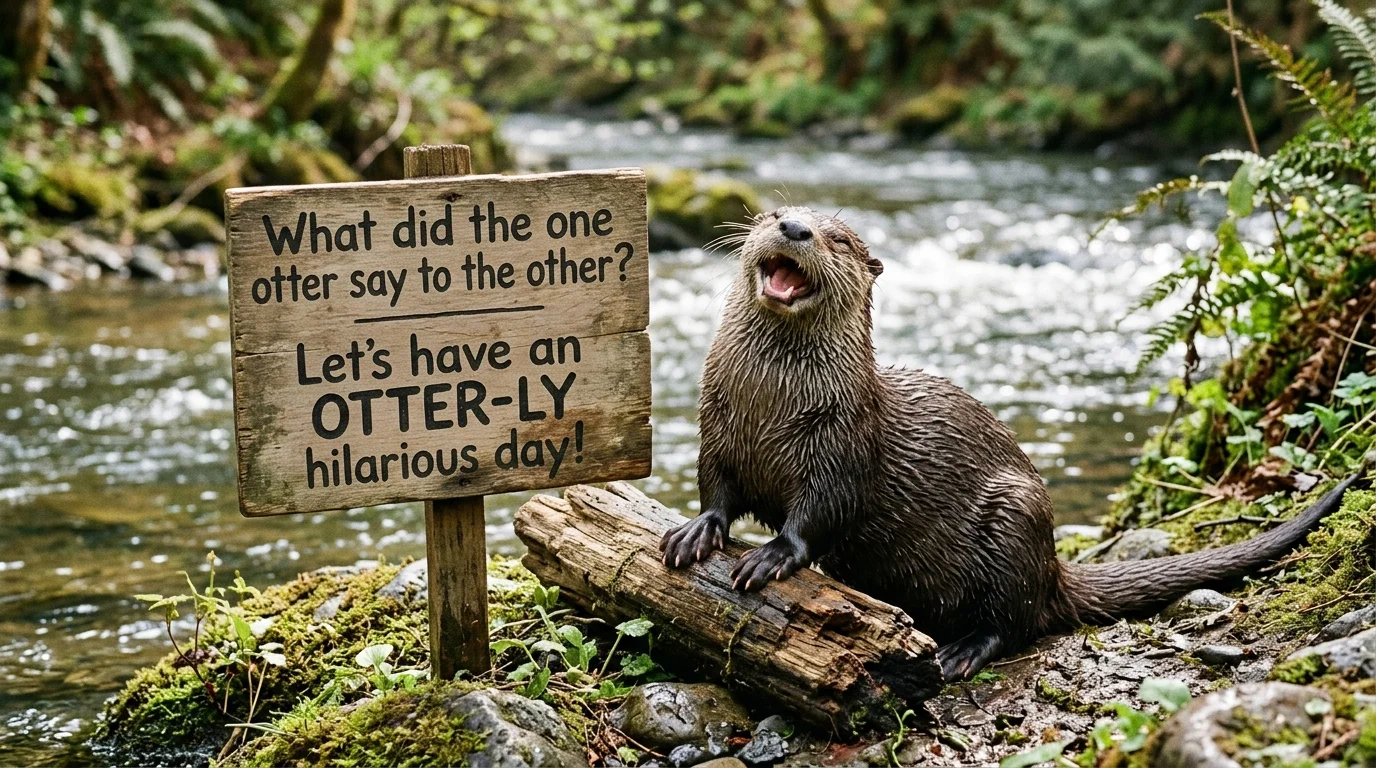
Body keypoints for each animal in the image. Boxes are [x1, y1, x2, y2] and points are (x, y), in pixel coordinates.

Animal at [659, 205, 1374, 681]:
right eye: (775, 213)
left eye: (835, 237)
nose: (795, 230)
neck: (771, 405)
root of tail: (1054, 567)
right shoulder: (715, 425)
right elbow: (716, 488)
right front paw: (698, 532)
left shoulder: (844, 441)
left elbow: (819, 513)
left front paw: (771, 557)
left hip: (1016, 515)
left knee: (1015, 619)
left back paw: (960, 653)